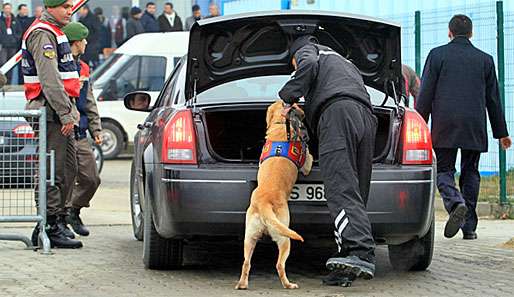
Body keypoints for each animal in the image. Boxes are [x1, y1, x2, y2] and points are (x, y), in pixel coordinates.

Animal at [235, 100, 312, 290]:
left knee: (246, 262)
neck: (281, 124)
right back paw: (289, 284)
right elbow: (309, 161)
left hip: (249, 238)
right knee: (279, 265)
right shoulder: (307, 163)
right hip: (285, 238)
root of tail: (264, 204)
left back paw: (242, 284)